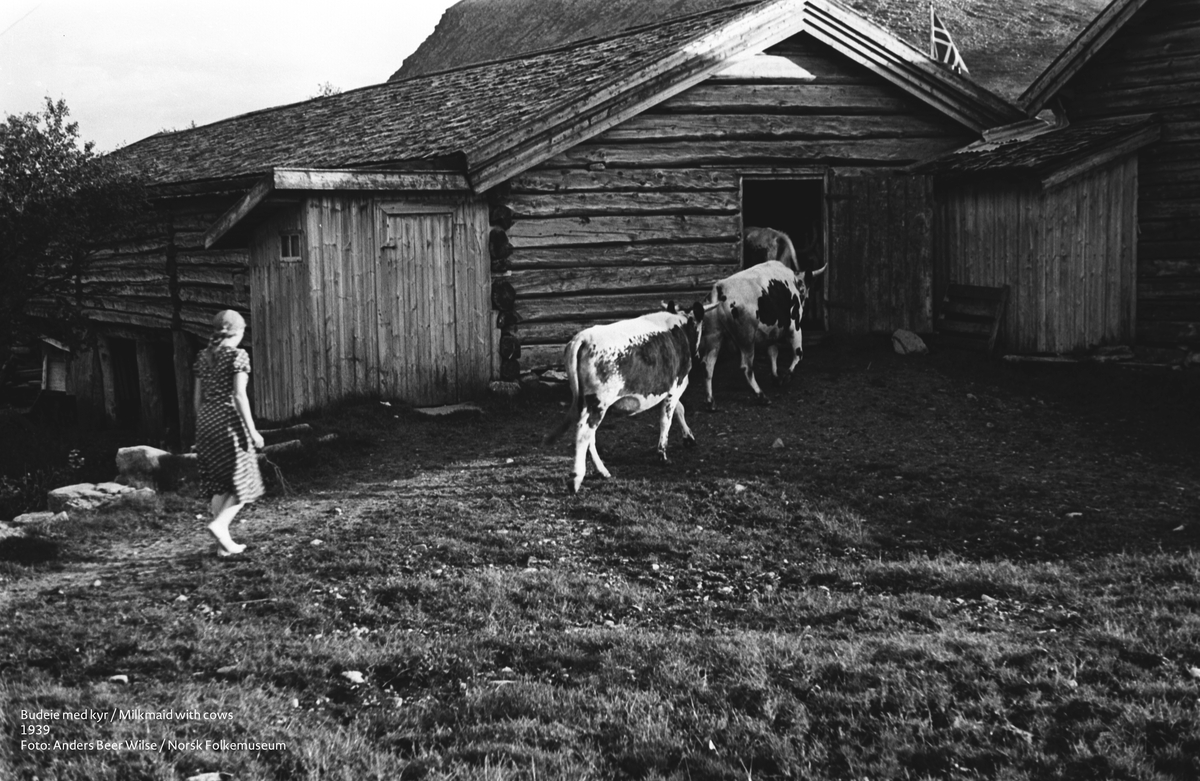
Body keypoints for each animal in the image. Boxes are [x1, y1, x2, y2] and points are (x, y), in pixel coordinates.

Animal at [547, 302, 710, 491]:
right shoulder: (677, 384)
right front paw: (662, 454)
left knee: (590, 436)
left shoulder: (669, 387)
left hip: (587, 403)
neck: (680, 327)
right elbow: (666, 419)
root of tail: (583, 337)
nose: (698, 355)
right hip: (599, 402)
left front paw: (688, 437)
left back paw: (602, 470)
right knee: (583, 433)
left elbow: (679, 409)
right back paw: (576, 478)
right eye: (701, 327)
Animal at [700, 261, 825, 412]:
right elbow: (798, 354)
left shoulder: (771, 334)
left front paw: (776, 377)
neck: (794, 281)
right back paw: (761, 396)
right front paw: (787, 376)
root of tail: (720, 288)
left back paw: (710, 402)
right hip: (747, 339)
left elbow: (773, 353)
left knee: (708, 365)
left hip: (714, 337)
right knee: (746, 367)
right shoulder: (795, 327)